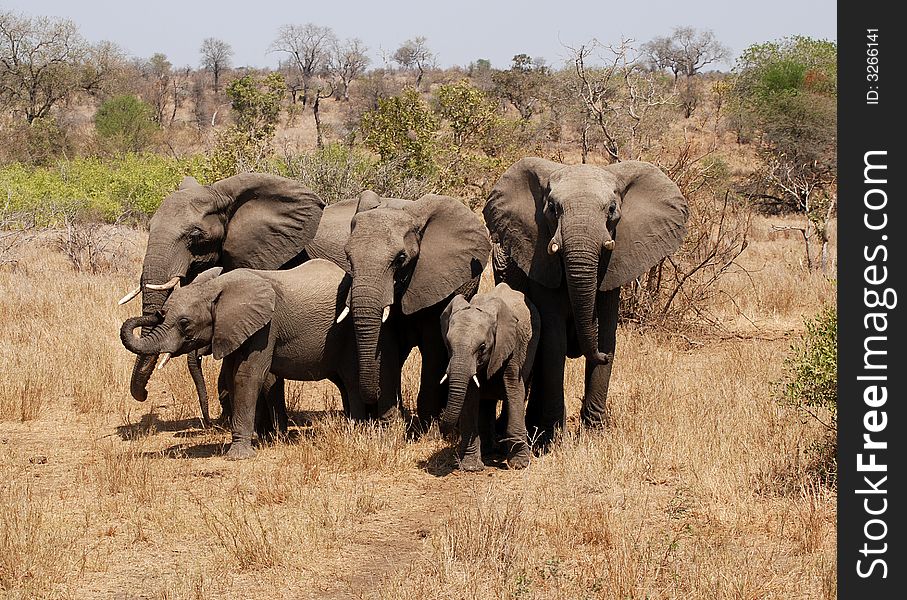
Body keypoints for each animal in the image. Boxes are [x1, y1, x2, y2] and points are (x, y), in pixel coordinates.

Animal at [120, 258, 400, 460]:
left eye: (184, 323)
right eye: (165, 314)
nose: (156, 313)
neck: (217, 287)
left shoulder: (266, 326)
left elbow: (248, 375)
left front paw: (239, 456)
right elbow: (234, 376)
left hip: (349, 336)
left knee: (351, 379)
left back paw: (357, 429)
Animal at [440, 284, 540, 472]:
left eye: (482, 347)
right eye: (448, 344)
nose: (442, 431)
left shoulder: (512, 345)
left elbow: (513, 388)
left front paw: (520, 465)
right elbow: (470, 395)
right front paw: (471, 467)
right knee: (486, 402)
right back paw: (487, 451)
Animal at [482, 157, 688, 442]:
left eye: (612, 209)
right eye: (552, 209)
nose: (599, 356)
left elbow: (607, 335)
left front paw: (593, 434)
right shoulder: (540, 261)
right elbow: (553, 341)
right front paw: (553, 436)